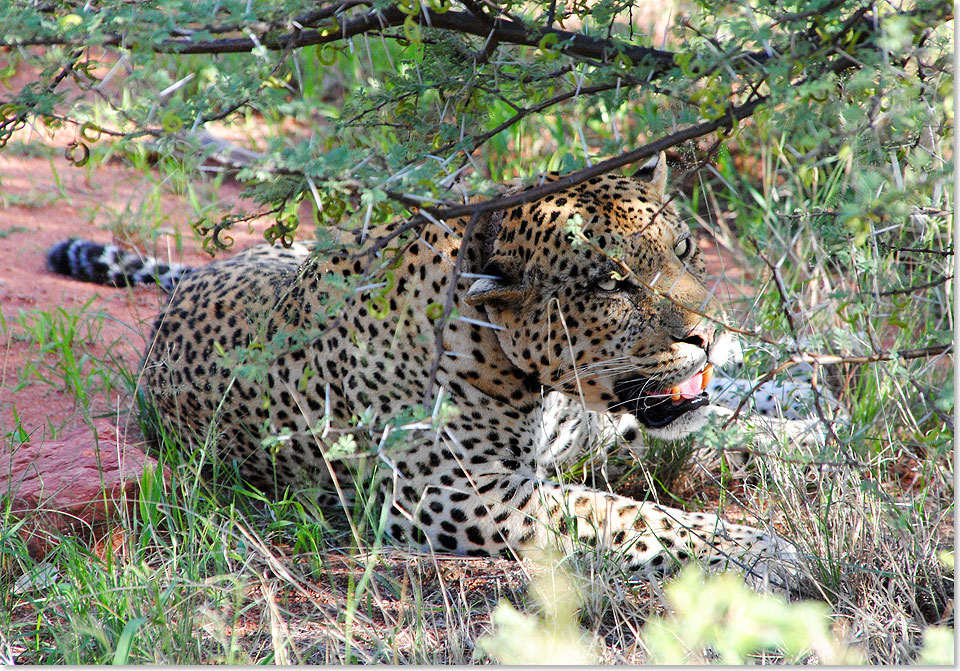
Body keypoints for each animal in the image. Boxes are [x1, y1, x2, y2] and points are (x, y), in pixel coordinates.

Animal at [47, 155, 796, 580]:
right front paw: (762, 549)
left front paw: (798, 433)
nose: (708, 333)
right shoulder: (458, 494)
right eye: (613, 284)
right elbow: (629, 516)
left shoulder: (594, 431)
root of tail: (196, 278)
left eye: (685, 249)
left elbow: (715, 425)